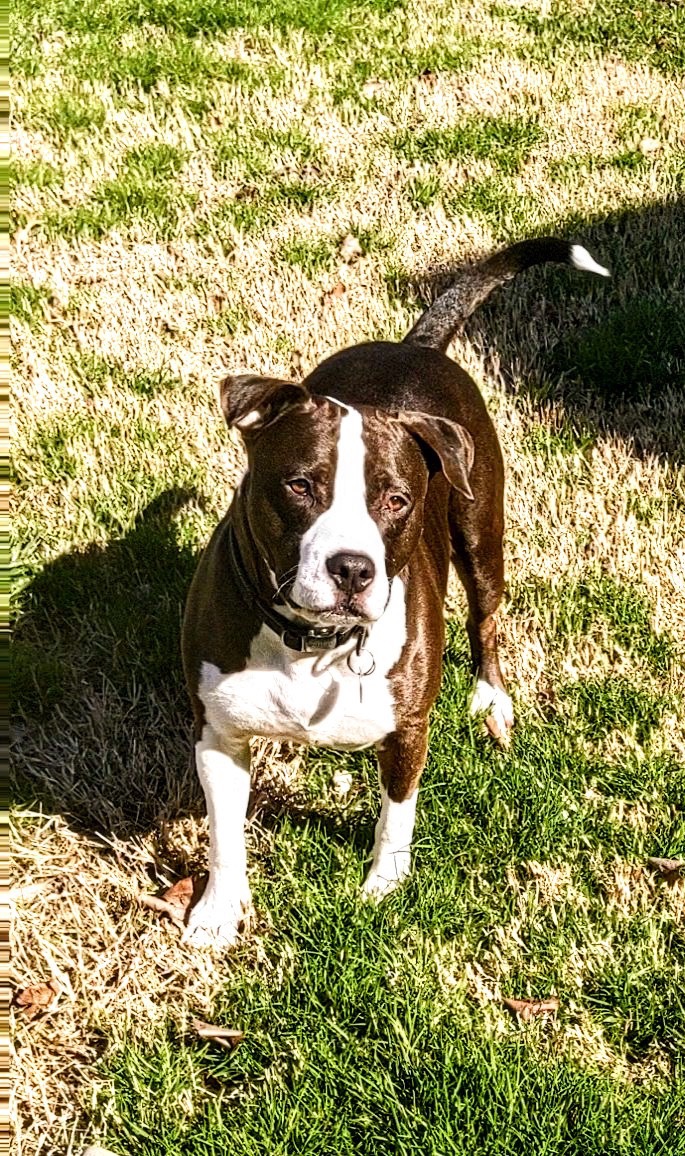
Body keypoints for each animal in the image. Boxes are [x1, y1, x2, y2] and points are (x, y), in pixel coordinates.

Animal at [181, 237, 609, 947]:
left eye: (397, 499)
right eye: (301, 485)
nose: (353, 568)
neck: (311, 644)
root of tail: (418, 346)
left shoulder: (407, 730)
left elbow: (396, 815)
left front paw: (385, 884)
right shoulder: (219, 734)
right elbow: (224, 837)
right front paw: (217, 913)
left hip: (480, 534)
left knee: (486, 617)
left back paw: (490, 697)